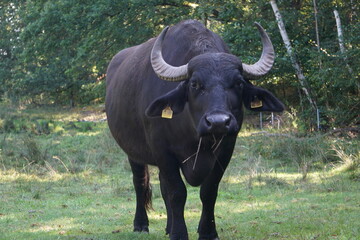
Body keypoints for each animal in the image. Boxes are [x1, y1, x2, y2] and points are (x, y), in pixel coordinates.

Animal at [106, 19, 284, 240]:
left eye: (238, 83)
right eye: (194, 84)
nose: (218, 122)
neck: (197, 138)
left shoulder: (226, 150)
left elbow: (208, 191)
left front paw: (207, 231)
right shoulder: (163, 152)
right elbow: (177, 192)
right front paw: (179, 233)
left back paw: (168, 226)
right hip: (133, 152)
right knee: (140, 183)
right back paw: (141, 224)